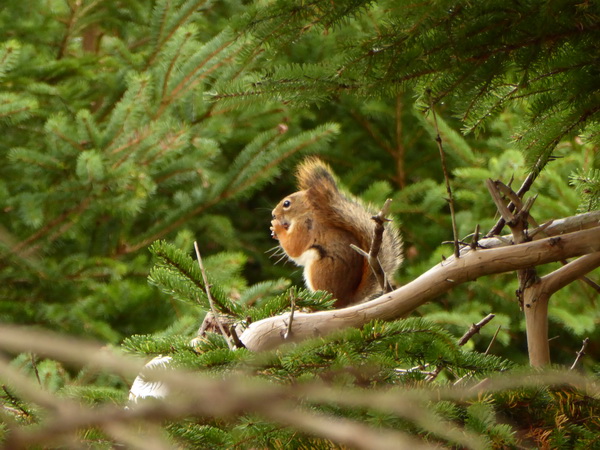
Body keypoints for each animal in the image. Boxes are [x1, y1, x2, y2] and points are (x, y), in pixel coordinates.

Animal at [268, 156, 400, 308]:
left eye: (286, 203)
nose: (273, 214)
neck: (306, 213)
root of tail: (347, 299)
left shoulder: (305, 228)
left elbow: (294, 247)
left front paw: (276, 227)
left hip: (319, 270)